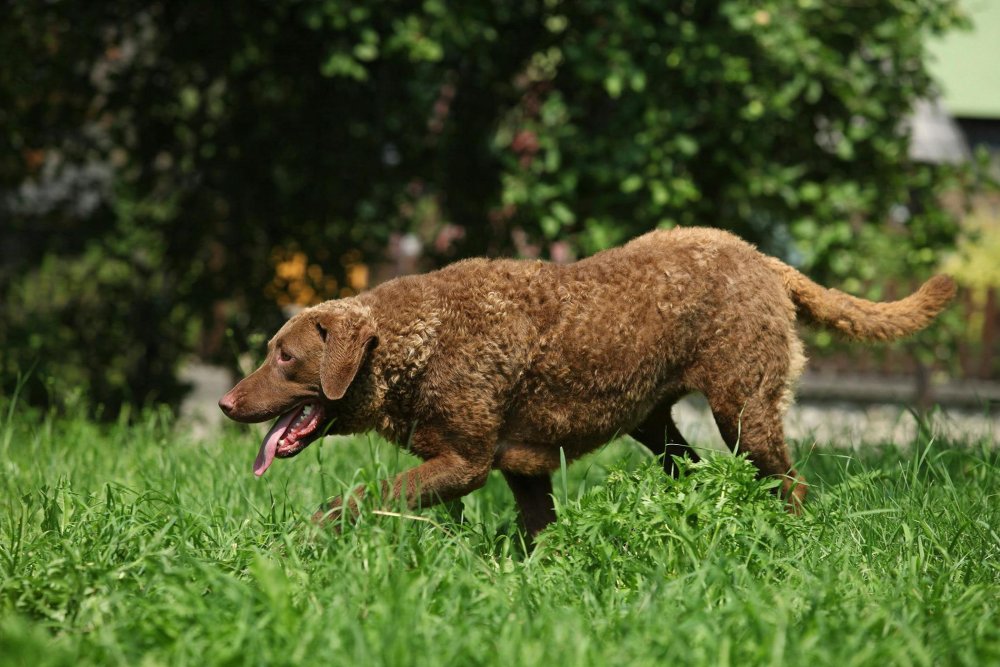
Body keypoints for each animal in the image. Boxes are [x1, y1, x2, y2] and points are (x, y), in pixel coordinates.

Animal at [219, 228, 952, 536]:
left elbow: (361, 496)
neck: (417, 344)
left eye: (285, 358)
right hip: (655, 422)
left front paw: (311, 533)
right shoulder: (521, 467)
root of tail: (764, 259)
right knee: (691, 469)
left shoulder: (465, 461)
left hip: (744, 408)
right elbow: (537, 532)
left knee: (791, 484)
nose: (226, 403)